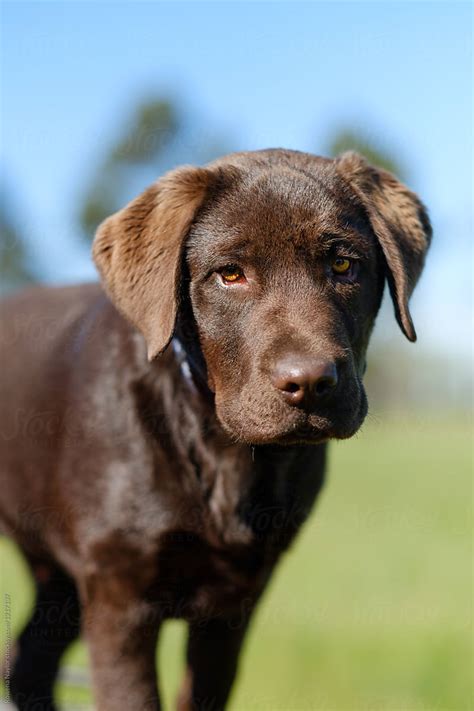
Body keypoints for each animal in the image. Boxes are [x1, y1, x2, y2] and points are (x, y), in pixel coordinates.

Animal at [0, 147, 430, 708]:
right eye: (230, 274)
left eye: (343, 264)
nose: (310, 383)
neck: (222, 450)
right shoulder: (119, 594)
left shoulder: (234, 606)